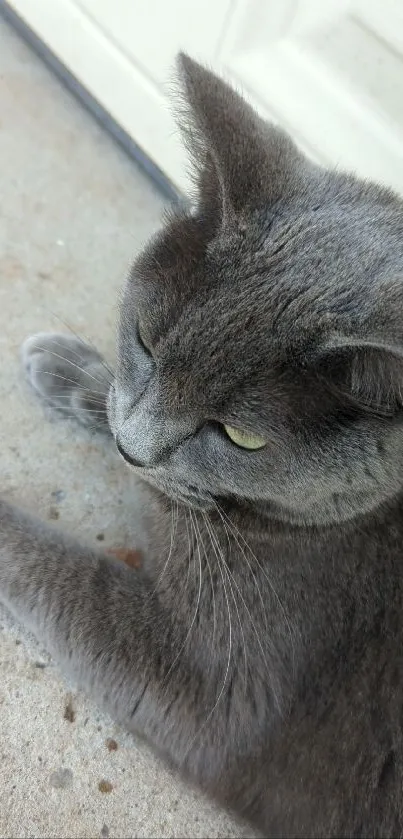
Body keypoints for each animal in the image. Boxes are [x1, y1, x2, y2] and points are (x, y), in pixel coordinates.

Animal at [0, 55, 403, 836]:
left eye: (242, 436)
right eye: (145, 340)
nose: (134, 449)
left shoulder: (221, 695)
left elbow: (75, 576)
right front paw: (68, 366)